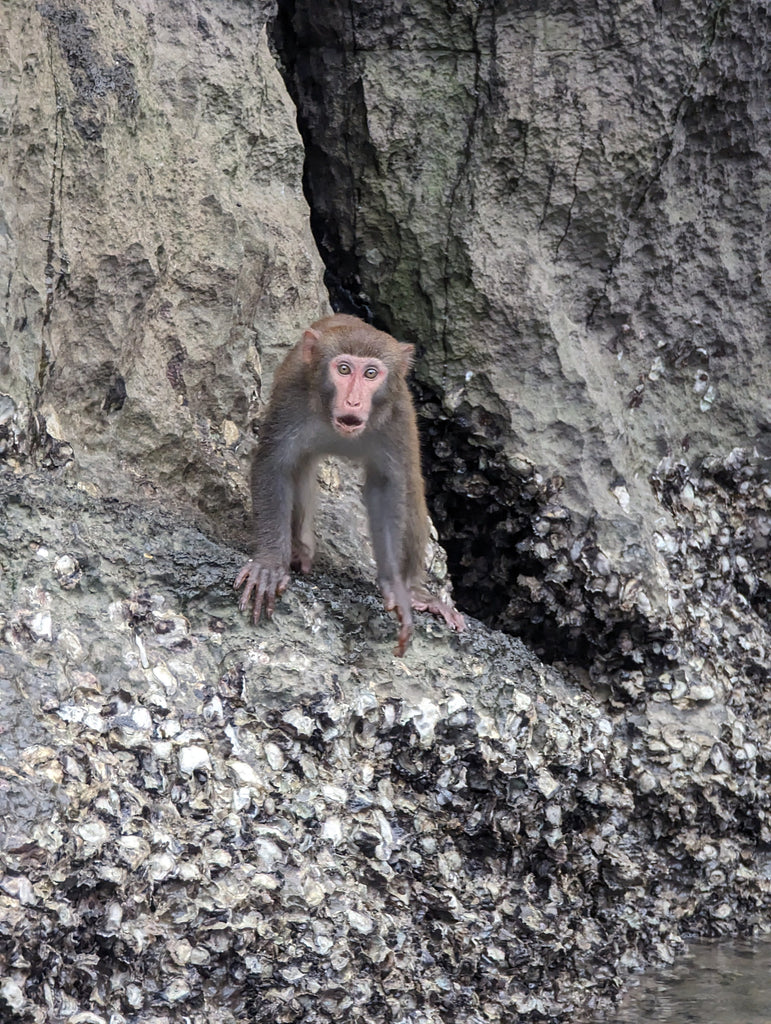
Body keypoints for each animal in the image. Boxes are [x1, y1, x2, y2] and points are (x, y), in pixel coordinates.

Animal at [234, 311, 462, 655]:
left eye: (370, 373)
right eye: (343, 369)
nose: (354, 402)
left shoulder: (397, 414)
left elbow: (387, 487)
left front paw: (396, 587)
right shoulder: (292, 394)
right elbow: (275, 465)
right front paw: (271, 564)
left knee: (410, 486)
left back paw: (417, 591)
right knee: (300, 470)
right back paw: (298, 549)